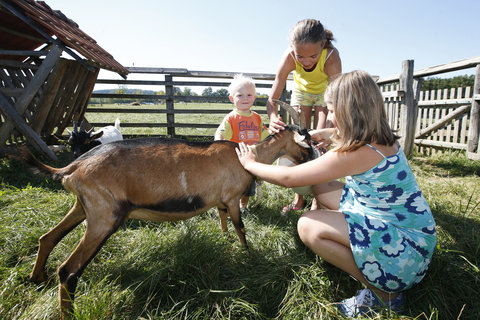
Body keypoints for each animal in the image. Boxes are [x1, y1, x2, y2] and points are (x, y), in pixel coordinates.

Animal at [18, 124, 316, 318]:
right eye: (309, 144)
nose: (313, 160)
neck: (245, 156)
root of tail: (73, 167)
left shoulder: (221, 200)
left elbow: (222, 219)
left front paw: (224, 238)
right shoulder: (232, 198)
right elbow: (240, 227)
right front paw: (248, 254)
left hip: (83, 206)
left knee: (47, 238)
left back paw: (36, 278)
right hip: (104, 216)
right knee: (68, 271)